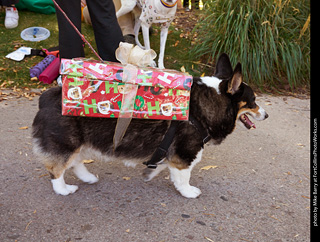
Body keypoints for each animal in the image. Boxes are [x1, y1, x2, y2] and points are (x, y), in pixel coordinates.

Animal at [31, 54, 268, 198]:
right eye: (254, 101)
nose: (266, 115)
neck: (210, 104)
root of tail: (45, 99)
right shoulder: (185, 155)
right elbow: (184, 177)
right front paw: (189, 192)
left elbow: (164, 166)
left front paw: (151, 173)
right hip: (66, 144)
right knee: (57, 170)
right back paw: (64, 189)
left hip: (80, 143)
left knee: (76, 163)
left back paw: (88, 178)